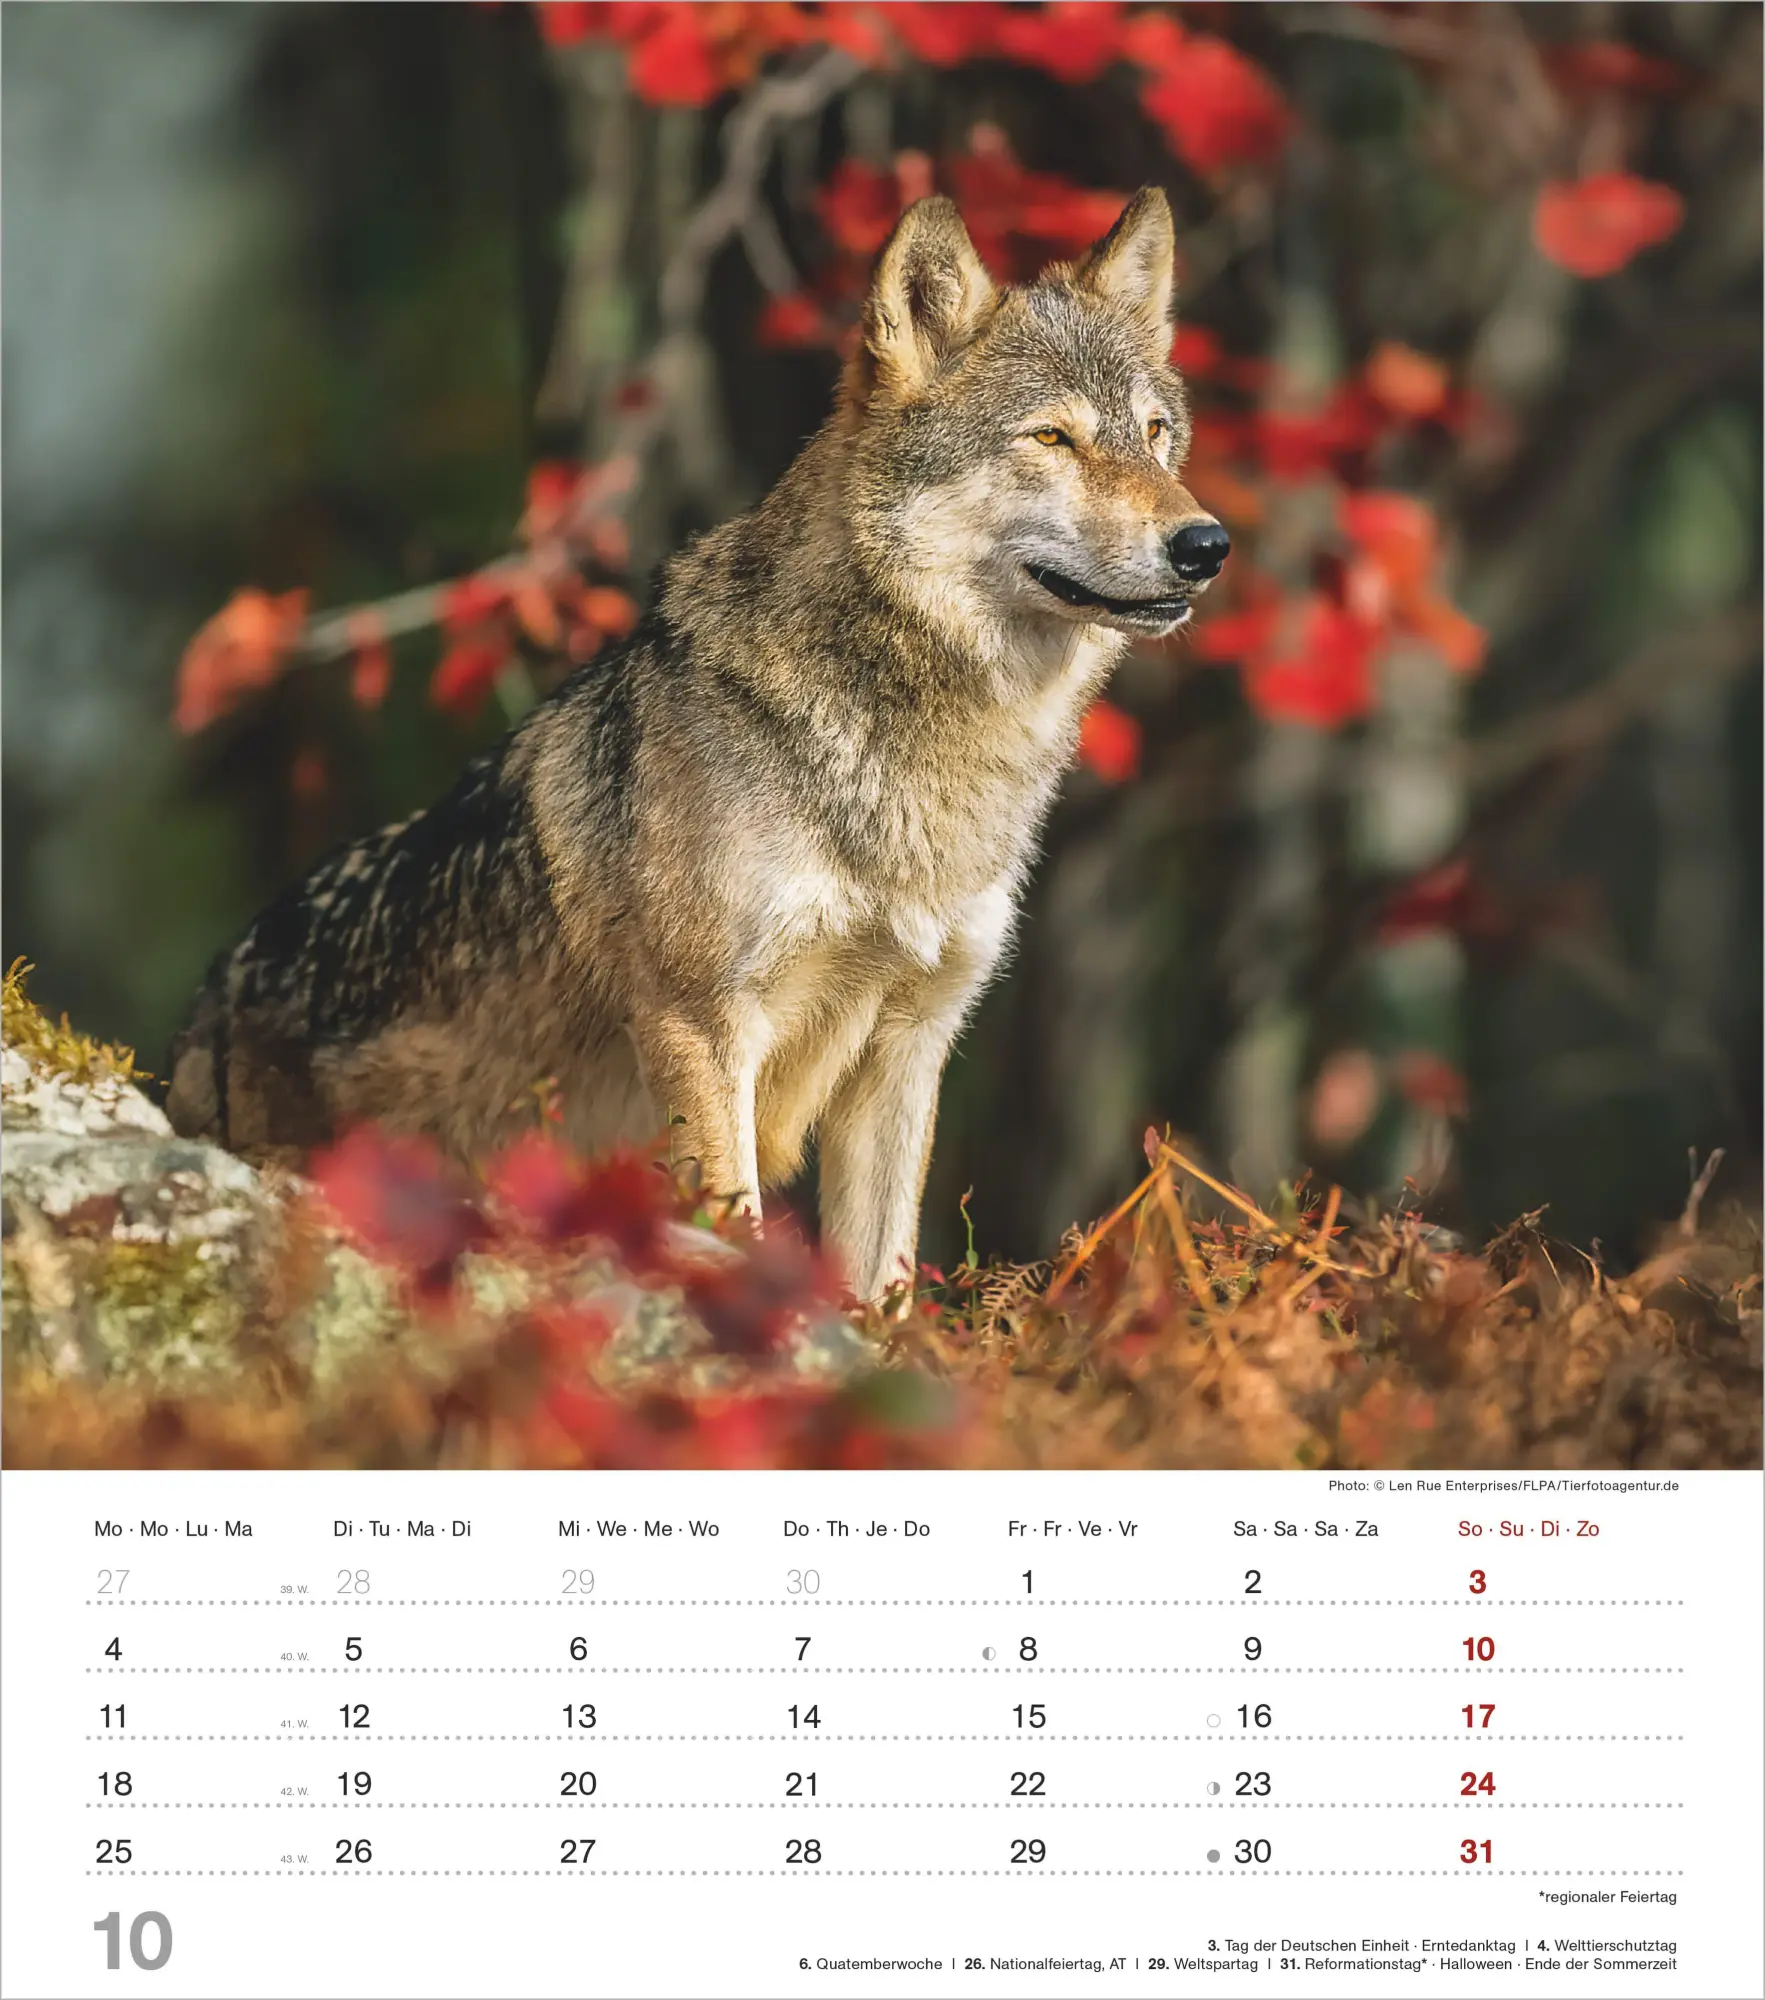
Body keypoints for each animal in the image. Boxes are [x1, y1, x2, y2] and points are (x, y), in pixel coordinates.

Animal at [166, 186, 1229, 1301]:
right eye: (1052, 438)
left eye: (1155, 434)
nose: (1206, 545)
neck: (912, 760)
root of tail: (205, 1001)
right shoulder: (705, 1030)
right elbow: (742, 1227)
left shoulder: (907, 1047)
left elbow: (880, 1283)